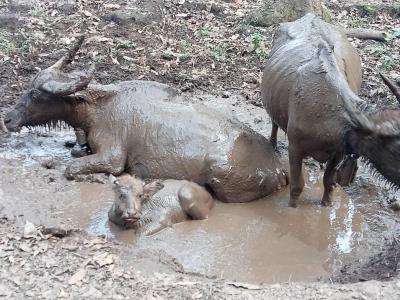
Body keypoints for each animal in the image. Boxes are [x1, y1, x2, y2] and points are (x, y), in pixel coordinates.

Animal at [260, 12, 400, 207]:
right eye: (396, 149)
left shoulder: (339, 152)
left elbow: (329, 182)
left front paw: (327, 205)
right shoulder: (294, 147)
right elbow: (296, 186)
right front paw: (292, 207)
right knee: (274, 122)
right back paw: (272, 143)